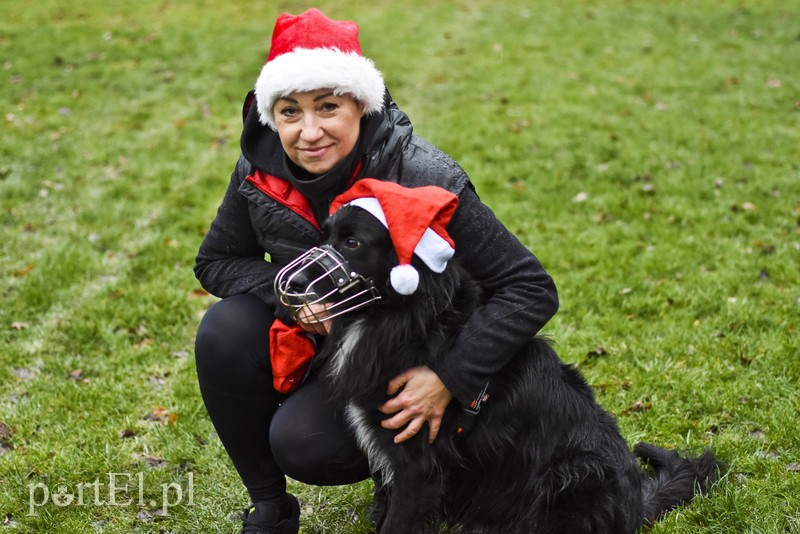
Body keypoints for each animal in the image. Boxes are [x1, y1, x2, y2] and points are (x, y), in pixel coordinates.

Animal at [280, 206, 720, 534]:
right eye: (324, 236)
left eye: (352, 242)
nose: (292, 284)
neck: (406, 317)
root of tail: (633, 507)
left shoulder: (417, 467)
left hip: (577, 475)